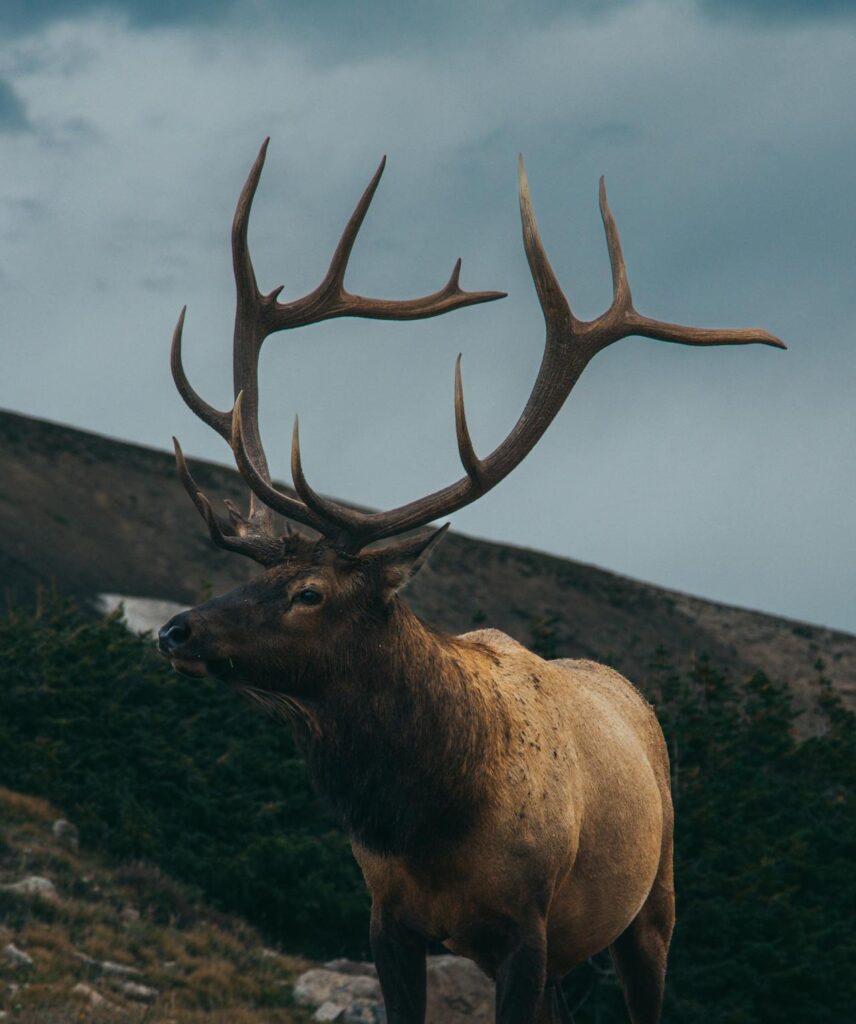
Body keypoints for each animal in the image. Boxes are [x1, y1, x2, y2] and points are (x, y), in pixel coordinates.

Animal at [157, 139, 784, 1024]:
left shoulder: (527, 929)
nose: (175, 629)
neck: (433, 818)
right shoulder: (387, 919)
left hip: (651, 911)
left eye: (311, 593)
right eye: (253, 574)